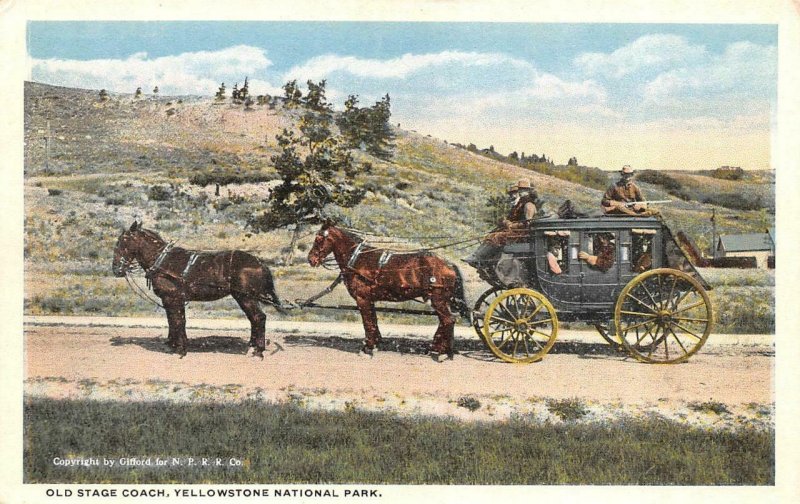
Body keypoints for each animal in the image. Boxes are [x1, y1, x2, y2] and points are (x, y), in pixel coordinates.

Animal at [112, 221, 284, 358]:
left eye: (123, 242)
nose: (116, 269)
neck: (162, 261)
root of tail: (259, 262)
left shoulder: (172, 298)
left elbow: (177, 321)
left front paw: (180, 349)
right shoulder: (172, 300)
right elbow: (173, 321)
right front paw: (172, 344)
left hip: (245, 297)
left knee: (258, 318)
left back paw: (258, 350)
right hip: (245, 297)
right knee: (254, 319)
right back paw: (252, 346)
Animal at [306, 222, 468, 360]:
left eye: (319, 239)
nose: (311, 259)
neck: (358, 259)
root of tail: (449, 264)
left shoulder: (362, 299)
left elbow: (368, 323)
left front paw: (367, 349)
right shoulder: (369, 300)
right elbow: (373, 322)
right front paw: (375, 345)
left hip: (438, 299)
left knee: (448, 320)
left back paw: (443, 353)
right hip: (440, 300)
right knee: (445, 321)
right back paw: (441, 349)